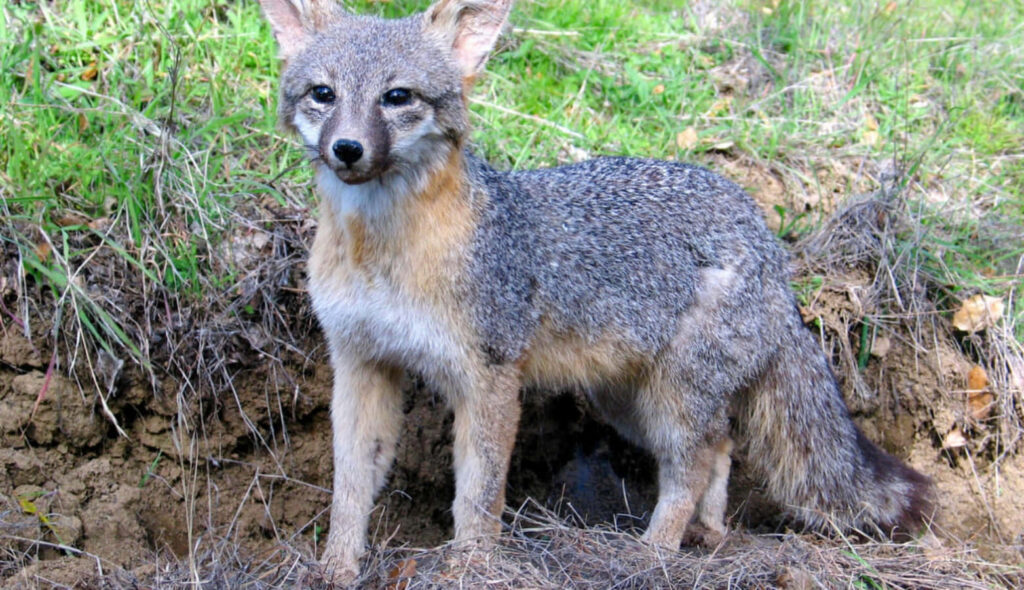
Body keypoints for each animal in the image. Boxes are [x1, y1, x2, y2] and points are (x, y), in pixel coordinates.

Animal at [258, 0, 933, 582]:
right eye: (323, 94)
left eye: (396, 97)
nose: (348, 149)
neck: (381, 253)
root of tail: (765, 236)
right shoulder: (360, 362)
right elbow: (350, 486)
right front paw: (336, 568)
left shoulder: (490, 378)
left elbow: (478, 498)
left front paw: (471, 570)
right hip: (627, 402)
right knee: (721, 445)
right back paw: (709, 534)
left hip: (671, 399)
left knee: (692, 464)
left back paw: (653, 553)